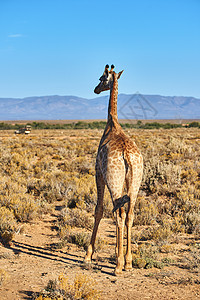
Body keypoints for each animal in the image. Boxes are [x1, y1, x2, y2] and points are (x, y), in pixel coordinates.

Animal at [83, 65, 143, 274]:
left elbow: (99, 210)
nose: (95, 89)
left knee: (118, 214)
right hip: (135, 183)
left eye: (101, 78)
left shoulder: (98, 174)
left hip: (114, 182)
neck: (112, 124)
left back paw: (118, 265)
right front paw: (121, 255)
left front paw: (88, 256)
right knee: (129, 214)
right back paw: (129, 262)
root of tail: (127, 156)